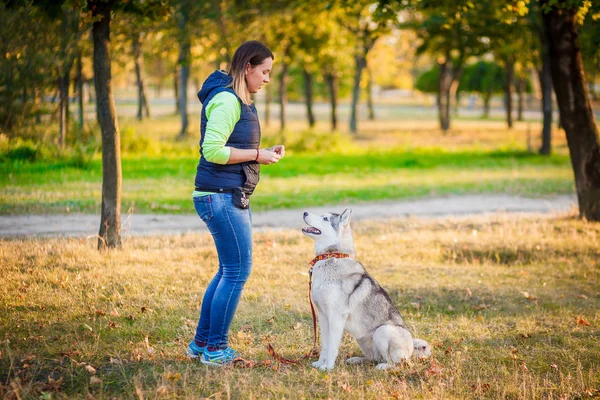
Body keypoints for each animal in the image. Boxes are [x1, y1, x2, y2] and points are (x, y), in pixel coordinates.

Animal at [302, 209, 428, 372]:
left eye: (325, 219)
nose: (304, 212)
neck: (332, 256)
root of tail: (411, 349)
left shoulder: (336, 317)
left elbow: (332, 347)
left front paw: (328, 367)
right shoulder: (323, 316)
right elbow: (325, 345)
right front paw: (319, 363)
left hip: (383, 331)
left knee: (395, 362)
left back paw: (384, 366)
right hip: (362, 339)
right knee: (372, 358)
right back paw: (356, 360)